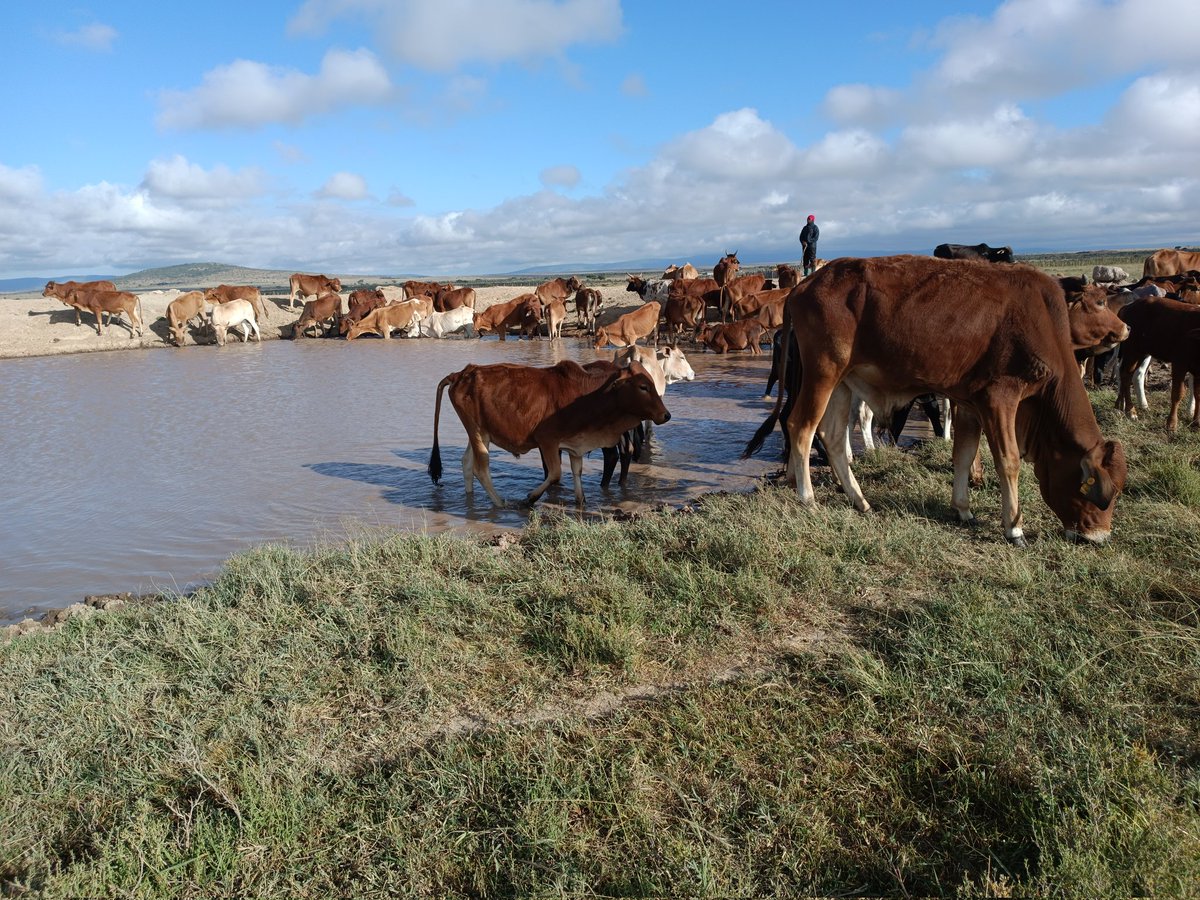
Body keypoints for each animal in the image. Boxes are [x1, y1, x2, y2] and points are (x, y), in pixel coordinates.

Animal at [427, 362, 672, 513]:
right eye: (643, 386)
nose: (666, 415)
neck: (589, 395)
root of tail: (460, 374)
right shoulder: (547, 441)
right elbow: (555, 474)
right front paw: (529, 499)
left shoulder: (575, 444)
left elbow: (577, 473)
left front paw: (581, 502)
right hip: (478, 432)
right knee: (481, 469)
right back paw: (499, 503)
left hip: (480, 433)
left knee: (467, 464)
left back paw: (470, 500)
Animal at [744, 256, 1128, 547]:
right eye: (1100, 493)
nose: (1099, 536)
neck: (1042, 319)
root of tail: (803, 286)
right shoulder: (1000, 397)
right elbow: (1009, 461)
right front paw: (1014, 527)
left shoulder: (970, 403)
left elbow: (964, 455)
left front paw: (963, 508)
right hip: (823, 372)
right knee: (801, 427)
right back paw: (808, 499)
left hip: (842, 380)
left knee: (834, 437)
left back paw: (859, 499)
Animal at [1113, 296, 1200, 434]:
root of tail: (1128, 306)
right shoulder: (1179, 364)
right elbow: (1177, 393)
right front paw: (1171, 424)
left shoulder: (1197, 370)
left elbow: (1197, 395)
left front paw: (1196, 422)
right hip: (1132, 351)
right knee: (1126, 375)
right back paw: (1130, 411)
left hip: (1142, 353)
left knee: (1126, 373)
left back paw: (1120, 406)